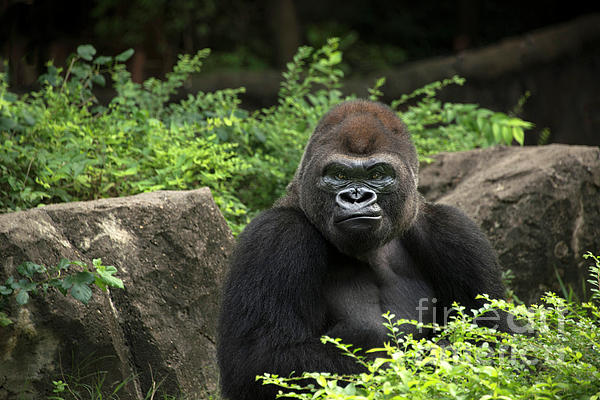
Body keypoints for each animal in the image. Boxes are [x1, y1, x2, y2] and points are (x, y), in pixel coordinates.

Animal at [216, 98, 506, 398]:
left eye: (377, 174)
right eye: (339, 174)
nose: (356, 196)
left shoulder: (456, 232)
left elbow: (494, 341)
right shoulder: (274, 237)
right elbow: (261, 359)